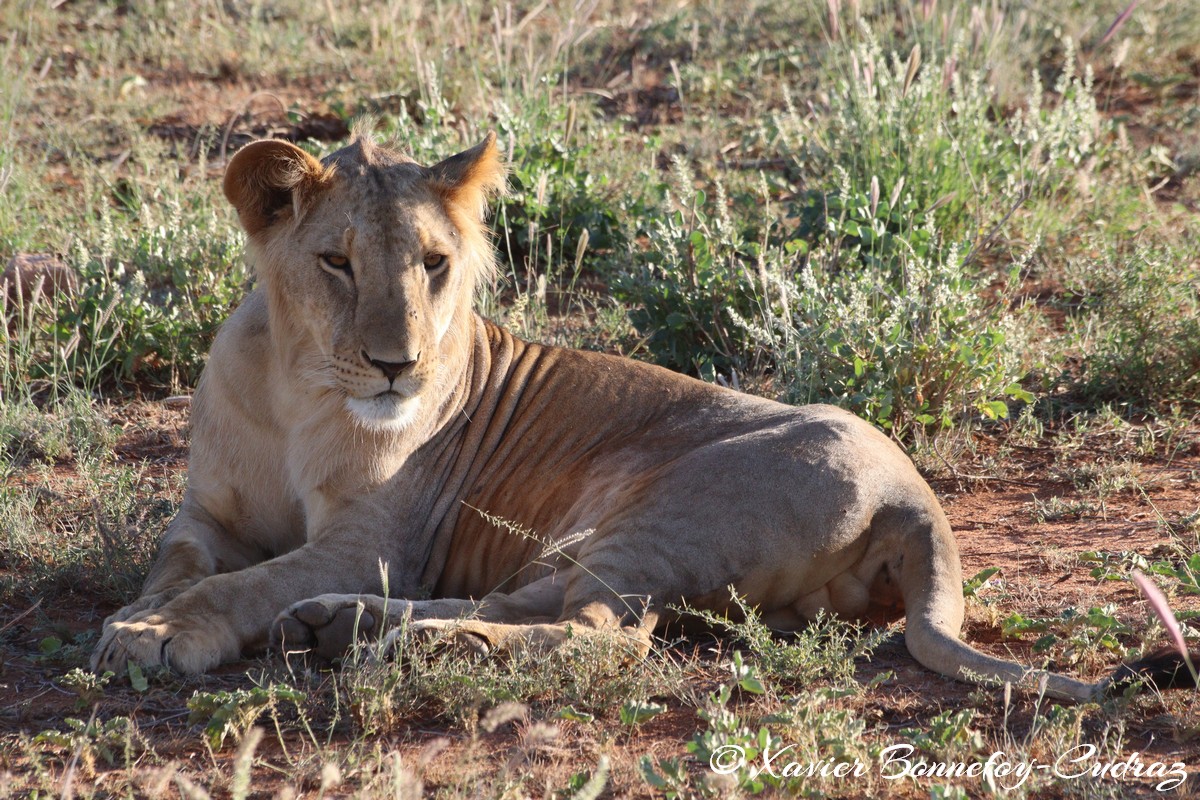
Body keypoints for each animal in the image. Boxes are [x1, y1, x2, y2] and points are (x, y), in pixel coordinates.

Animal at [92, 131, 1192, 701]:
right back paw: (342, 628)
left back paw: (398, 644)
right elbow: (183, 564)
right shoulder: (208, 512)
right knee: (535, 607)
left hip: (652, 508)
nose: (399, 365)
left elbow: (245, 581)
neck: (297, 386)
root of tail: (920, 496)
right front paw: (146, 614)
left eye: (435, 266)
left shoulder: (376, 538)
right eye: (336, 262)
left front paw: (158, 634)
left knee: (601, 633)